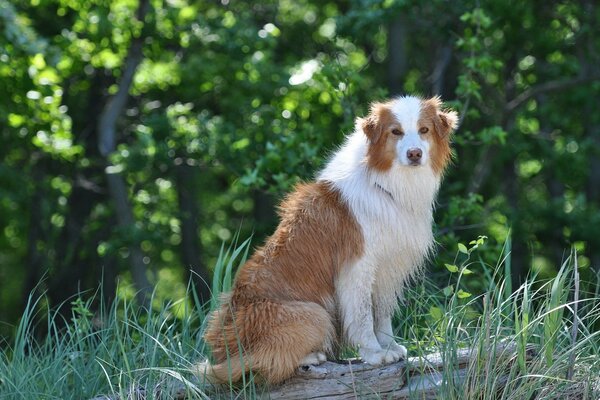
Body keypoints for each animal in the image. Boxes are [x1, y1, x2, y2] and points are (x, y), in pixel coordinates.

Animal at [199, 94, 458, 384]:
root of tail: (225, 351)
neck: (385, 184)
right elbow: (363, 316)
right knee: (265, 362)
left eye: (424, 130)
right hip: (315, 314)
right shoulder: (358, 267)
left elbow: (382, 314)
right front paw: (374, 353)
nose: (414, 154)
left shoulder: (388, 267)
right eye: (396, 132)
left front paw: (389, 346)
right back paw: (312, 356)